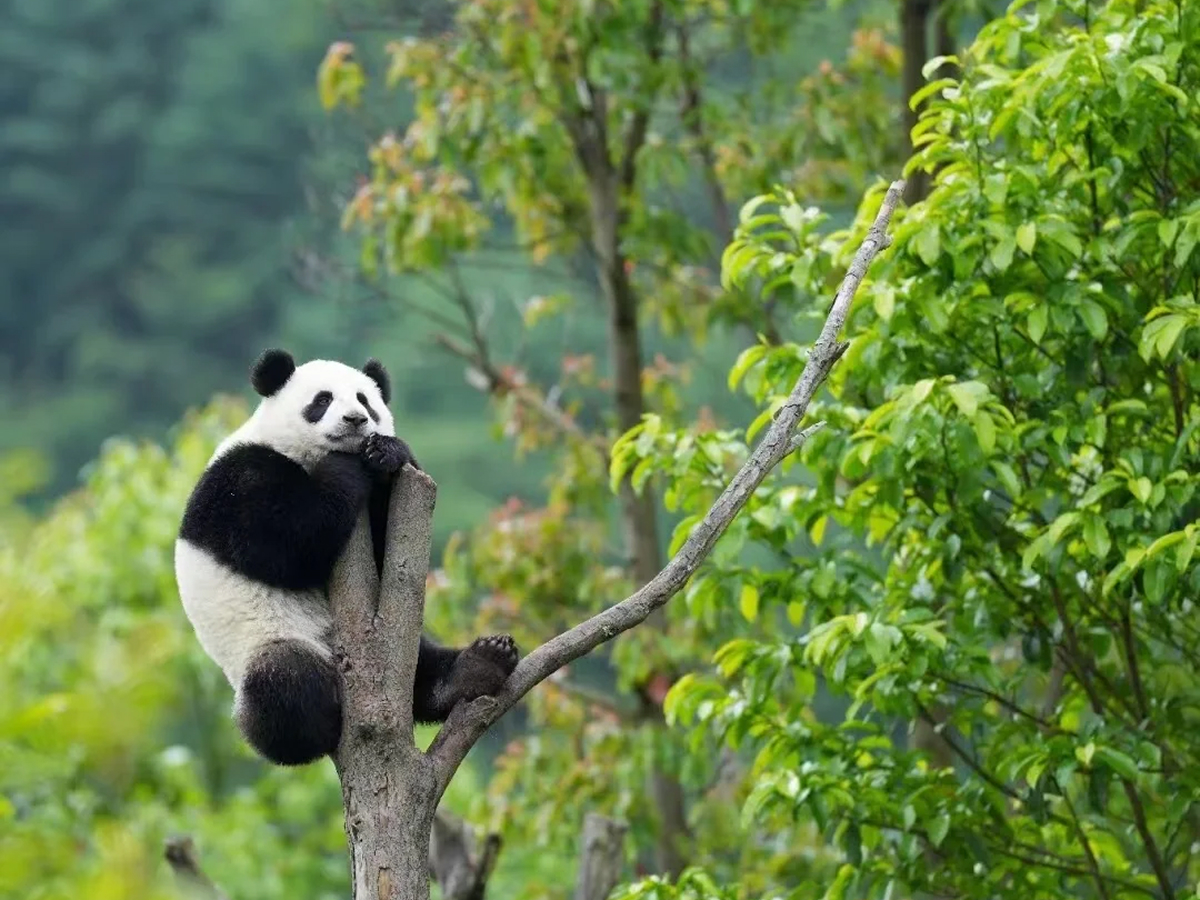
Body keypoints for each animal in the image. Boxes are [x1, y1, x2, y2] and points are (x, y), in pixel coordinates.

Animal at [174, 348, 519, 766]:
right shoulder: (239, 480)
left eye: (365, 401)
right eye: (322, 400)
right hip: (264, 641)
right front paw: (344, 469)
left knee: (421, 666)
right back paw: (317, 729)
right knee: (285, 680)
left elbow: (388, 541)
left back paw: (477, 666)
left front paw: (387, 453)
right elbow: (285, 543)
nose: (355, 420)